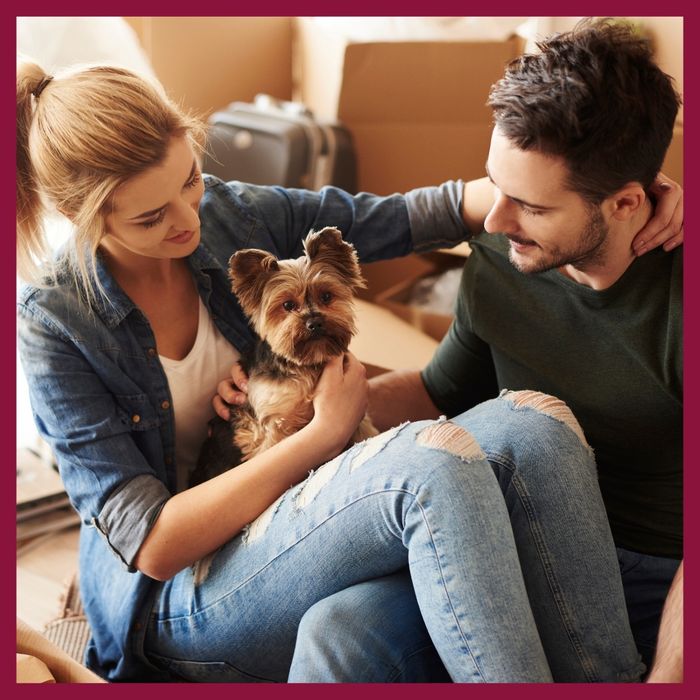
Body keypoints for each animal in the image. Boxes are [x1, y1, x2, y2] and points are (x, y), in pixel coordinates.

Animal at [190, 227, 378, 484]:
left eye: (326, 296)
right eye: (288, 305)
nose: (314, 322)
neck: (306, 364)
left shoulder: (358, 418)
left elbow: (365, 430)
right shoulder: (274, 423)